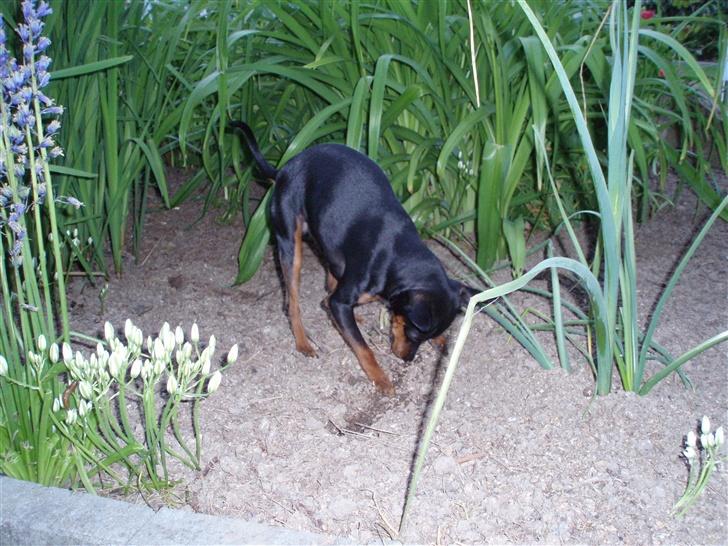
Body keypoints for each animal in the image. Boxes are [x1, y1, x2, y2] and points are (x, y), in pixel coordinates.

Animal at [233, 120, 478, 392]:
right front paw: (381, 378)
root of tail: (286, 167)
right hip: (290, 246)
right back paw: (303, 343)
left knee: (326, 290)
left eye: (425, 337)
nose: (407, 359)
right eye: (414, 334)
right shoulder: (343, 300)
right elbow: (363, 348)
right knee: (293, 304)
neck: (397, 254)